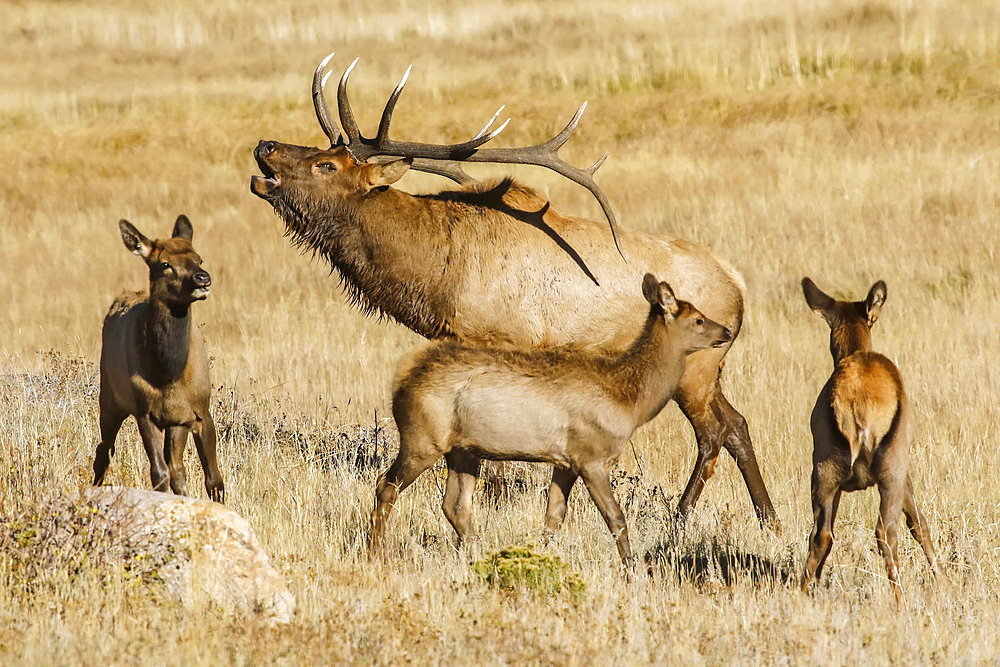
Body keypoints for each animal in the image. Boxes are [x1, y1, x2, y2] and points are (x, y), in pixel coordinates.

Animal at [94, 217, 225, 504]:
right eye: (164, 264)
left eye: (199, 258)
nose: (203, 278)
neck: (168, 375)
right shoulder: (145, 411)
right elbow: (158, 473)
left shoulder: (199, 411)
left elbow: (214, 479)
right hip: (109, 399)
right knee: (103, 452)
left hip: (176, 423)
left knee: (177, 467)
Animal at [250, 52, 780, 528]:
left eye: (327, 165)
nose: (265, 144)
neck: (437, 271)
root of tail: (738, 283)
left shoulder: (500, 339)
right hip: (710, 366)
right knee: (737, 425)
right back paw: (768, 519)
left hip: (695, 367)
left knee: (712, 433)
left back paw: (681, 516)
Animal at [372, 274, 732, 568]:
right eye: (699, 319)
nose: (727, 331)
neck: (629, 400)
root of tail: (401, 380)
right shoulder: (590, 454)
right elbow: (616, 518)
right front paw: (633, 570)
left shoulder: (565, 461)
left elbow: (553, 518)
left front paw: (539, 556)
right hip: (422, 437)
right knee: (385, 486)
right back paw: (378, 553)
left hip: (463, 450)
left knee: (455, 505)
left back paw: (475, 555)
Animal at [800, 280, 940, 604]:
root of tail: (856, 405)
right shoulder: (904, 473)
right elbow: (919, 524)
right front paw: (945, 583)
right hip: (890, 471)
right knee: (885, 532)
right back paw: (900, 602)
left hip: (824, 472)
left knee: (821, 534)